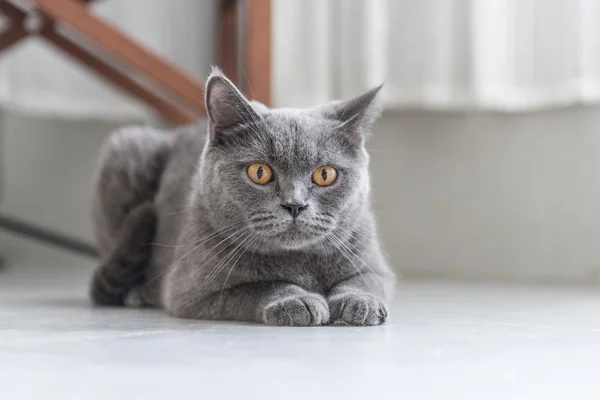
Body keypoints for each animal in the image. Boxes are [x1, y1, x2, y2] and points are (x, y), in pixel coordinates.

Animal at [90, 68, 394, 324]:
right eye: (260, 172)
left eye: (325, 174)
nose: (295, 205)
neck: (299, 262)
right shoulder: (190, 291)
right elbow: (259, 286)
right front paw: (297, 300)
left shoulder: (375, 263)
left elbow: (367, 280)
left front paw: (359, 302)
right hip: (127, 148)